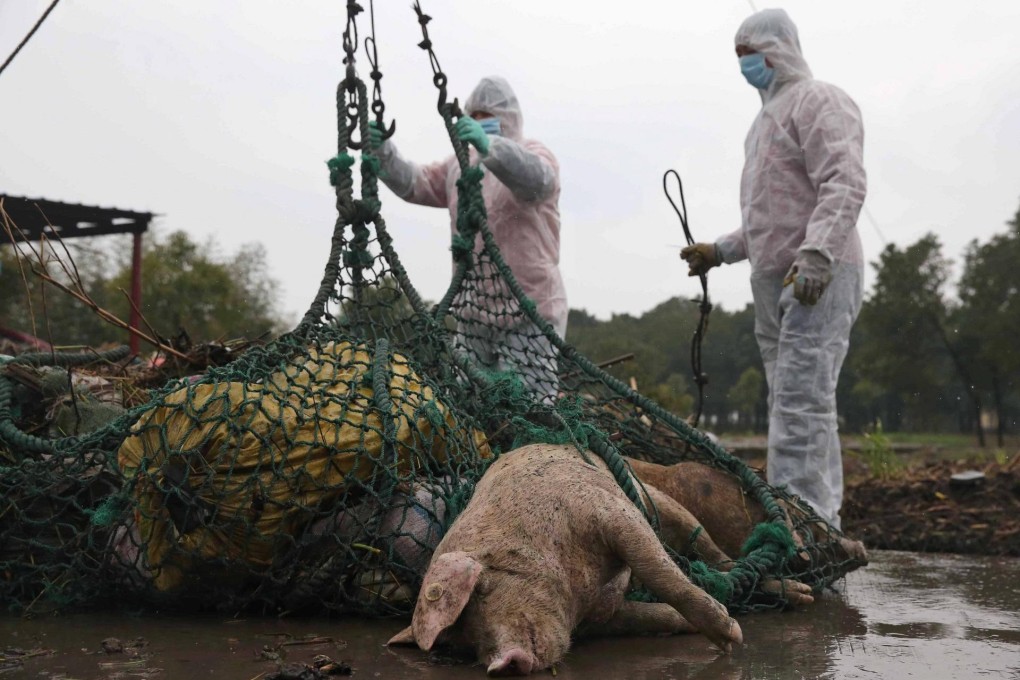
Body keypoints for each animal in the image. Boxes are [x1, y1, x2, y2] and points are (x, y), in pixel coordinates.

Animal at [387, 443, 747, 676]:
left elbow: (660, 573)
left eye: (481, 591)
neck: (580, 589)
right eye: (465, 642)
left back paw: (734, 571)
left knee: (695, 534)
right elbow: (651, 616)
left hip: (648, 495)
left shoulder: (609, 511)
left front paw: (733, 637)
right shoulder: (601, 615)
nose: (500, 665)